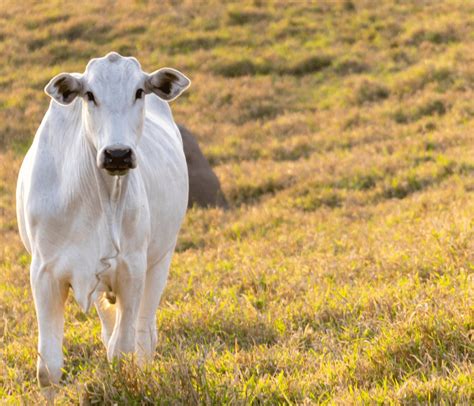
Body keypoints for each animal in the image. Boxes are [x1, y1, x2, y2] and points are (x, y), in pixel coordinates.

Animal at [16, 52, 191, 388]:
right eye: (89, 95)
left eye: (139, 92)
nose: (117, 154)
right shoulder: (44, 273)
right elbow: (48, 369)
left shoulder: (131, 271)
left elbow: (121, 351)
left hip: (160, 260)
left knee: (143, 334)